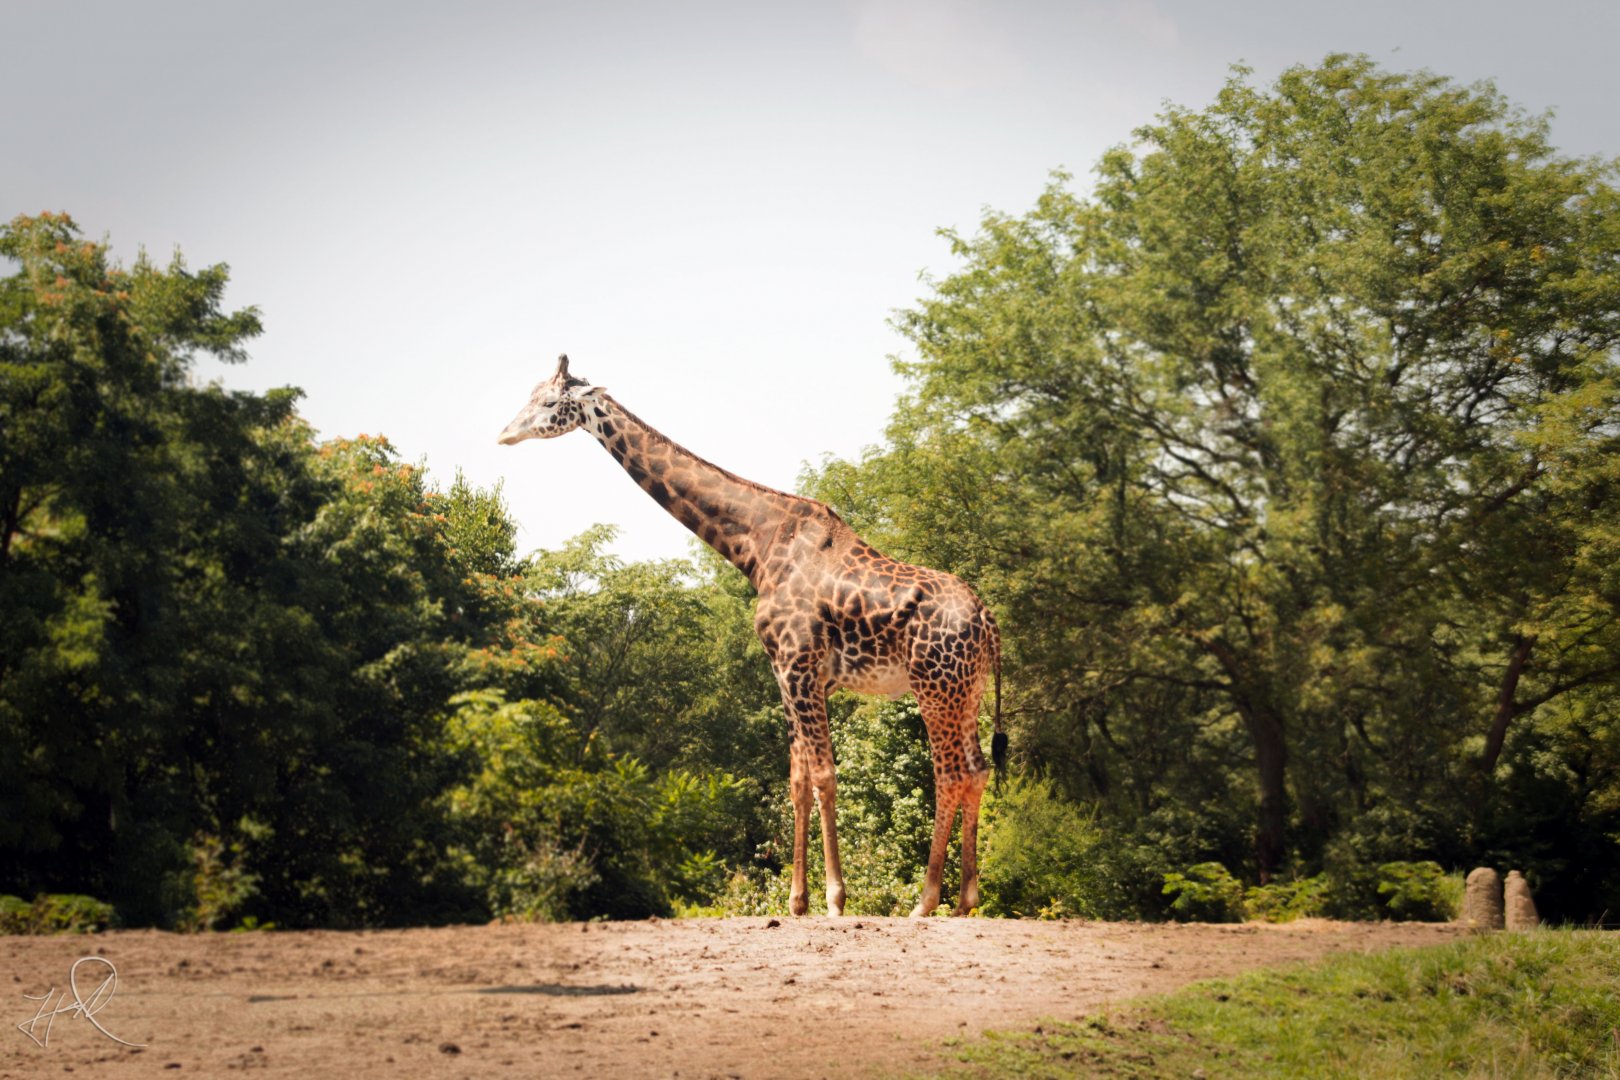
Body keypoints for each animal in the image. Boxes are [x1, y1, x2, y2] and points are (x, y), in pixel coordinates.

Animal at [498, 355, 1005, 916]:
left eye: (549, 402)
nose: (505, 434)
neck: (755, 546)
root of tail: (987, 621)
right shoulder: (790, 674)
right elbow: (798, 780)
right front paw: (797, 902)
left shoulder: (797, 664)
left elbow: (824, 775)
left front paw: (835, 899)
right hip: (966, 690)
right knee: (978, 769)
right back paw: (964, 900)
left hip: (934, 688)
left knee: (950, 774)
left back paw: (926, 900)